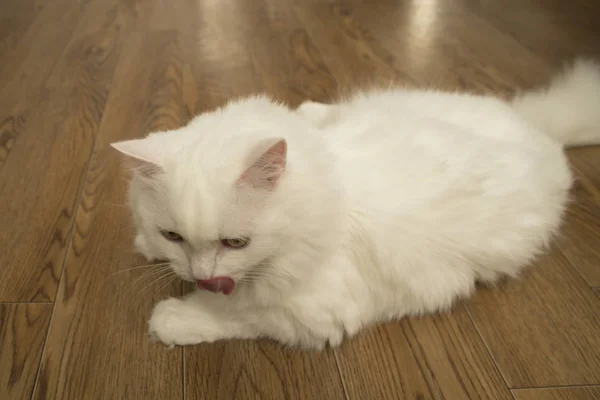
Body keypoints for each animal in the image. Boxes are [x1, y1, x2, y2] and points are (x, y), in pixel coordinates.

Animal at [111, 57, 600, 348]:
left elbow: (237, 313)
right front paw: (149, 248)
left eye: (235, 243)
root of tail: (534, 122)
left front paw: (175, 318)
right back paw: (311, 108)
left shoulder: (312, 312)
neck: (329, 183)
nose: (201, 275)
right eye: (173, 236)